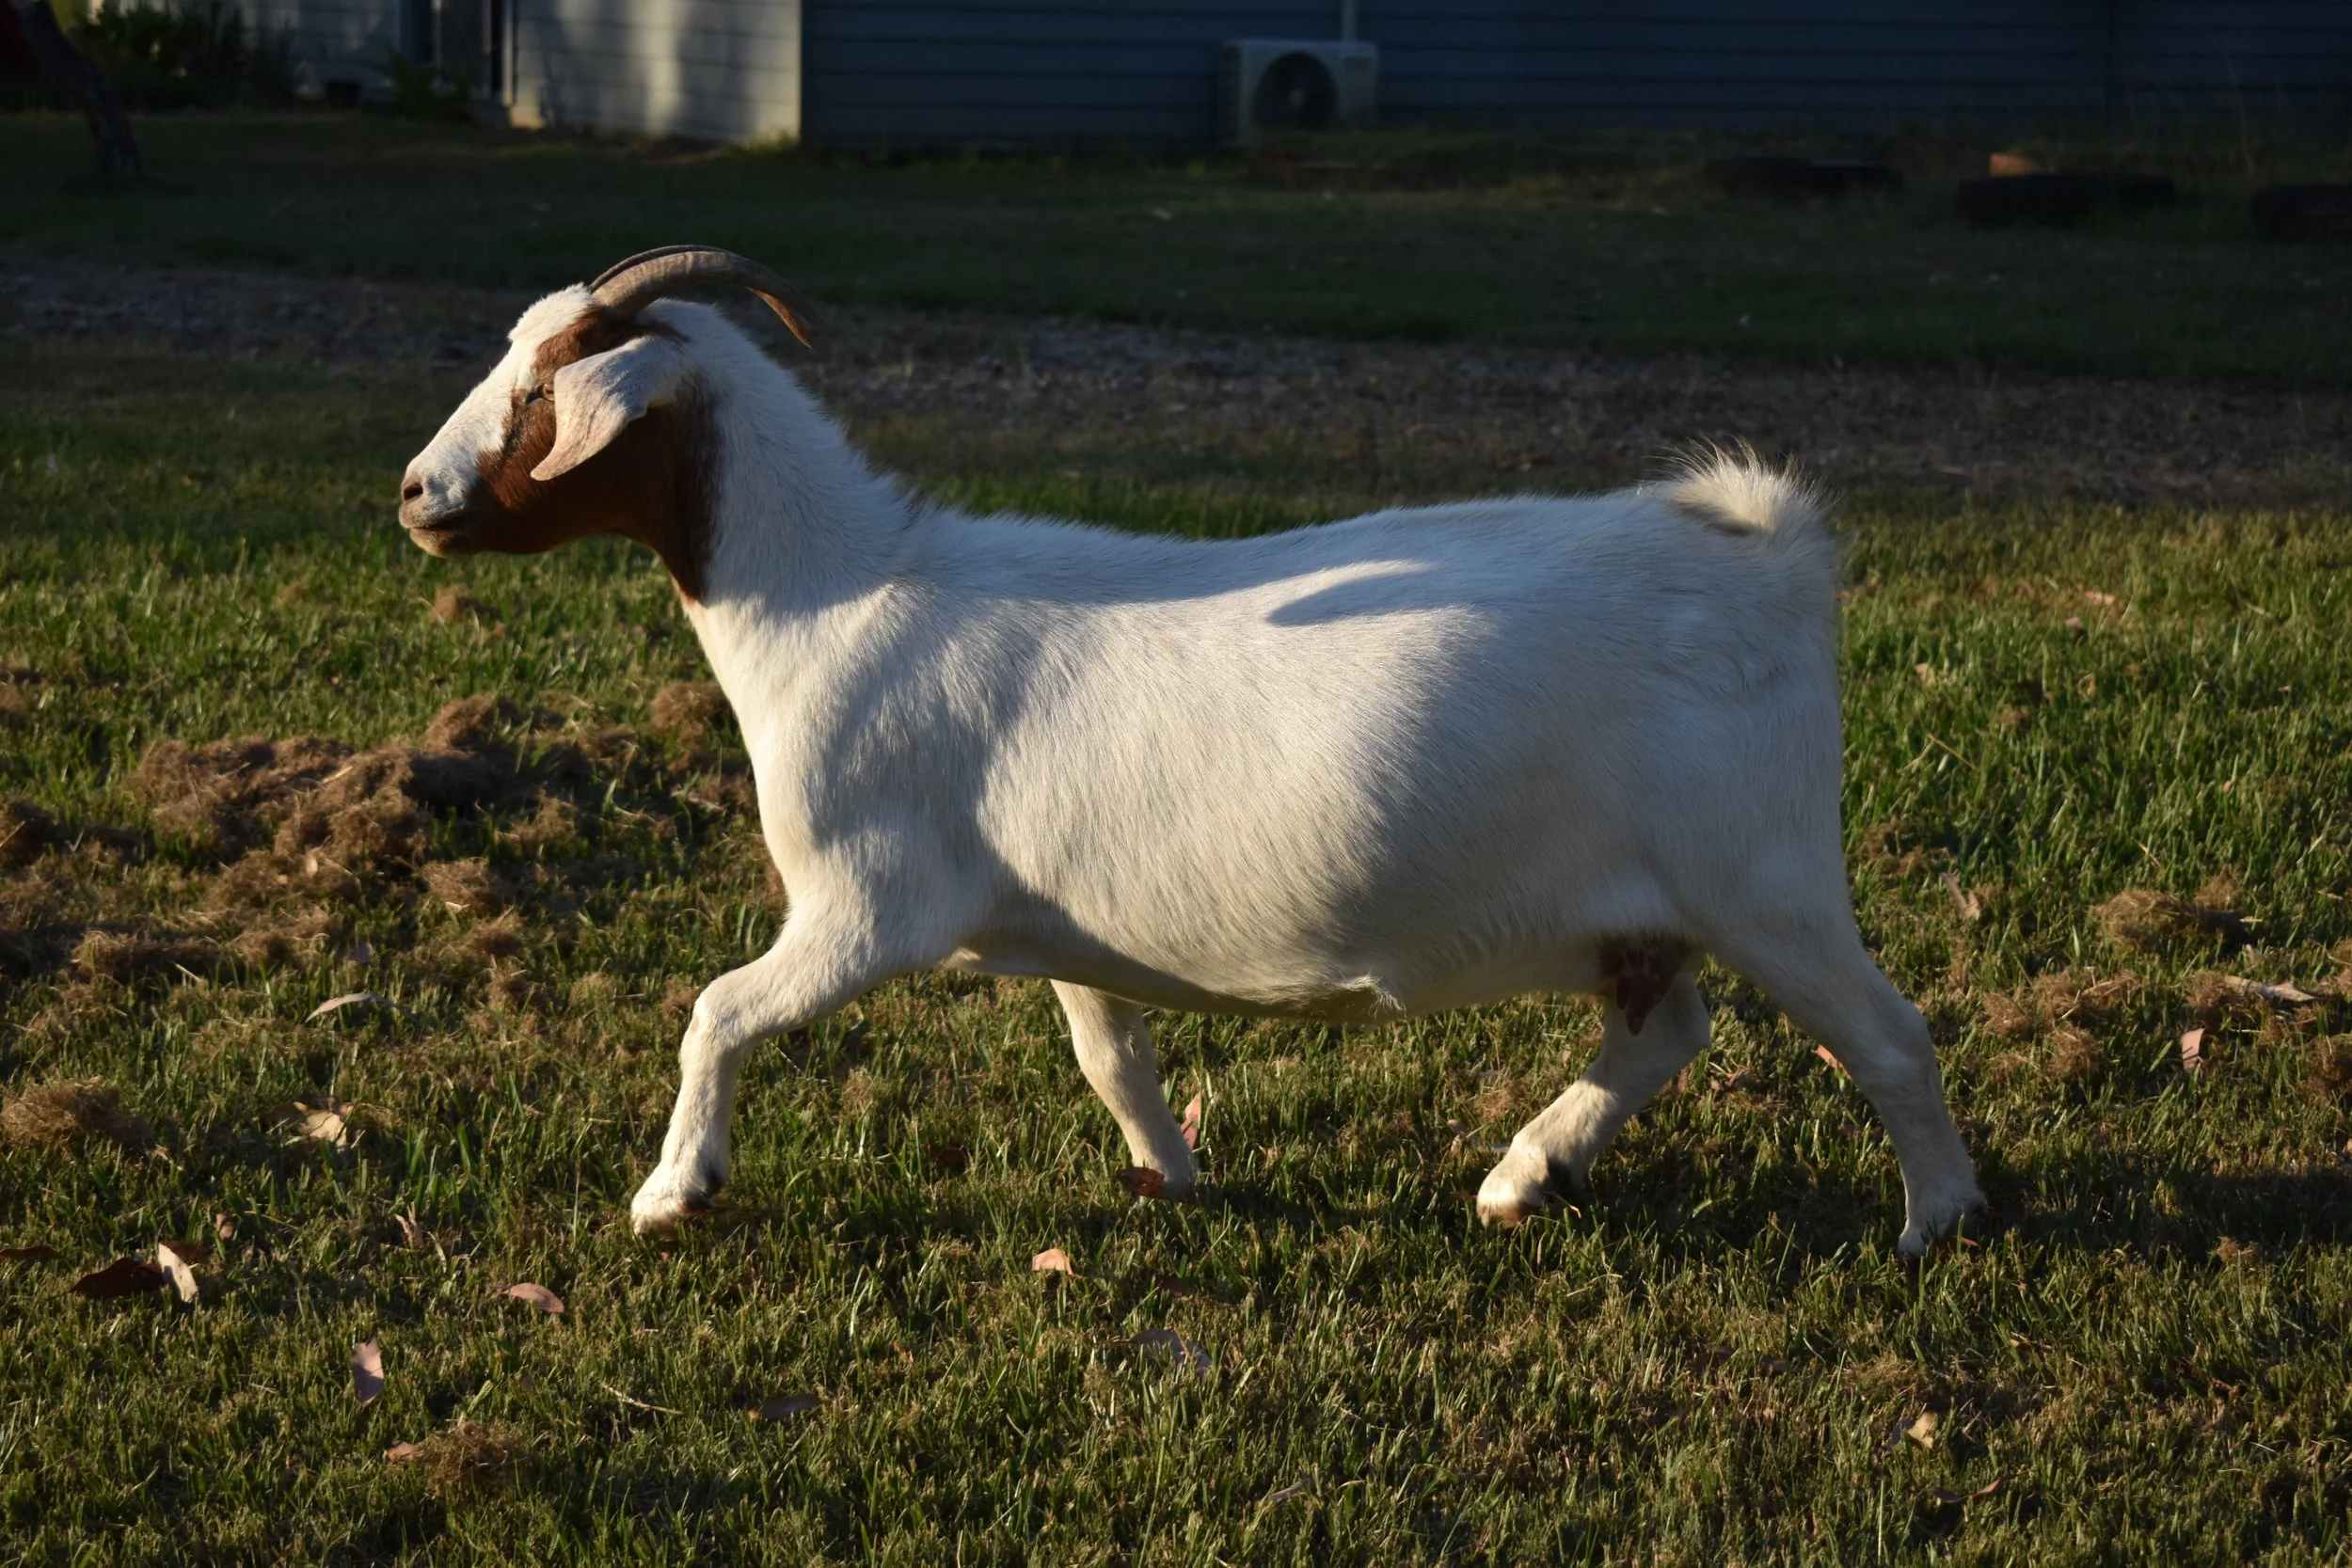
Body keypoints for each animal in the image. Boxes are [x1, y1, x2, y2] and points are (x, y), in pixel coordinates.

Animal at [399, 247, 1983, 1255]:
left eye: (541, 393)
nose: (416, 493)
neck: (838, 592)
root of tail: (1766, 546)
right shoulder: (1058, 920)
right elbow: (1110, 1053)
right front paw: (1175, 1179)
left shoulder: (867, 904)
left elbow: (718, 1009)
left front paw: (675, 1192)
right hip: (1653, 910)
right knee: (1664, 1030)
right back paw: (1523, 1177)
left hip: (1765, 871)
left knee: (1886, 1033)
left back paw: (1938, 1223)